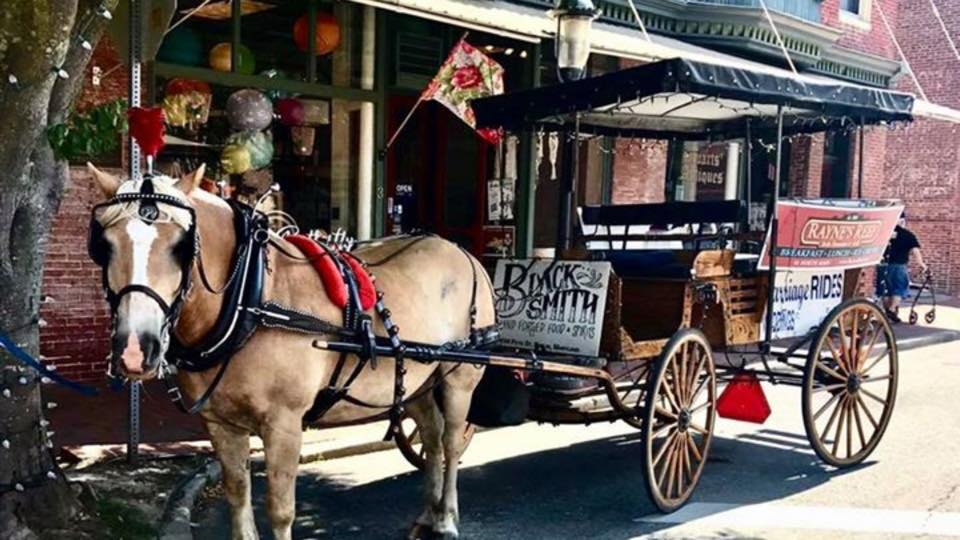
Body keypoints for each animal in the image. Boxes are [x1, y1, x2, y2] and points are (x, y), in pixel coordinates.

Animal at [87, 165, 496, 540]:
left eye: (181, 247)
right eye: (105, 245)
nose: (135, 350)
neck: (250, 297)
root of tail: (464, 253)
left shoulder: (284, 423)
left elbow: (280, 510)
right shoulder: (220, 423)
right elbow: (238, 495)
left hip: (460, 379)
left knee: (451, 442)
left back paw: (446, 519)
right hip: (416, 382)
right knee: (431, 435)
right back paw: (429, 514)